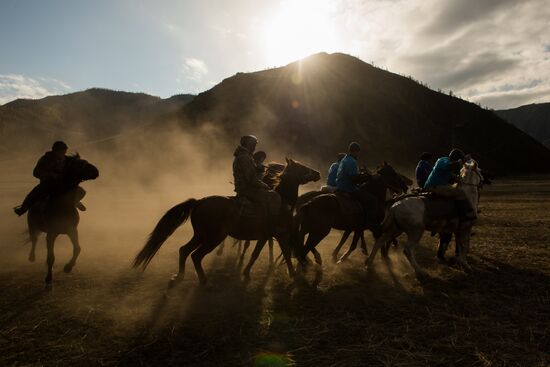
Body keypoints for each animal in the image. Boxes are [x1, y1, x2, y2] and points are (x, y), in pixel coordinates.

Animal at [26, 154, 99, 286]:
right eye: (79, 164)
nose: (96, 171)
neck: (63, 206)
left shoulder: (72, 230)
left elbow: (77, 248)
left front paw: (68, 267)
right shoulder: (51, 235)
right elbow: (51, 257)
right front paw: (48, 278)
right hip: (32, 227)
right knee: (34, 240)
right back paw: (32, 257)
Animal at [134, 160, 322, 286]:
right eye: (302, 167)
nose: (318, 173)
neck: (282, 200)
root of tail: (199, 202)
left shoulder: (265, 236)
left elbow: (256, 254)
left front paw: (246, 273)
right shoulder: (281, 234)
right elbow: (285, 252)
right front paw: (293, 273)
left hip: (200, 236)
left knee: (184, 250)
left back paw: (179, 276)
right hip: (213, 238)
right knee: (196, 255)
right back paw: (203, 280)